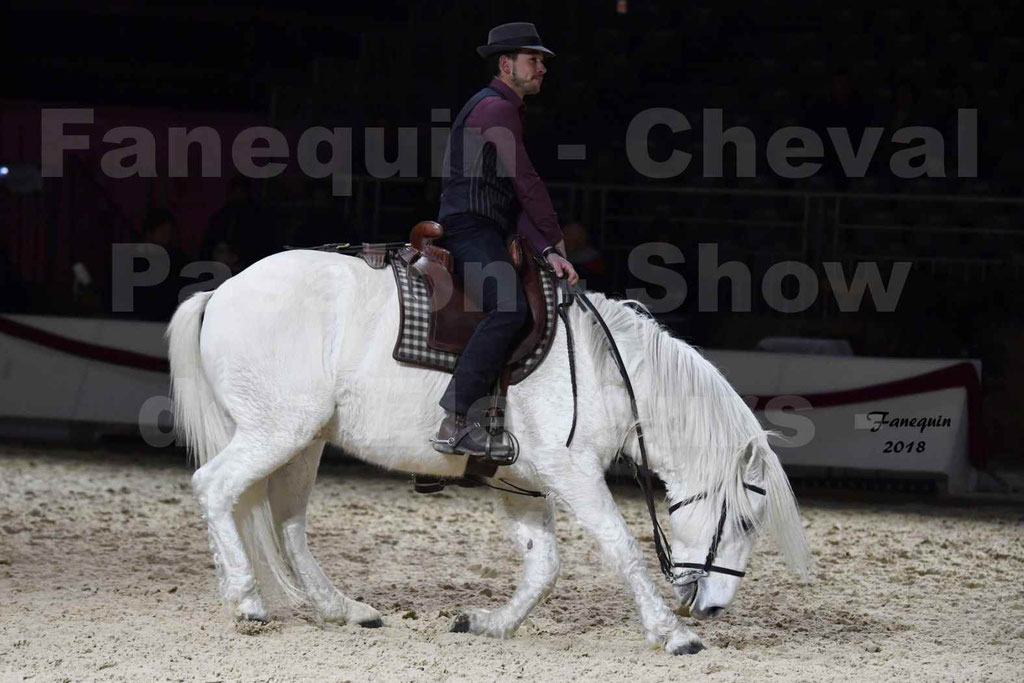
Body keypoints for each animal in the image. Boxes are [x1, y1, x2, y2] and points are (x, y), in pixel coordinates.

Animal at [165, 248, 806, 655]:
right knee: (216, 489)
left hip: (303, 441)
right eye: (746, 522)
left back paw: (340, 608)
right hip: (277, 432)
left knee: (288, 524)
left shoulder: (523, 482)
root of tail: (222, 291)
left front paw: (490, 624)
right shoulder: (571, 474)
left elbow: (543, 567)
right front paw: (673, 635)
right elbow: (621, 549)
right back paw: (246, 599)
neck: (606, 368)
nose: (715, 608)